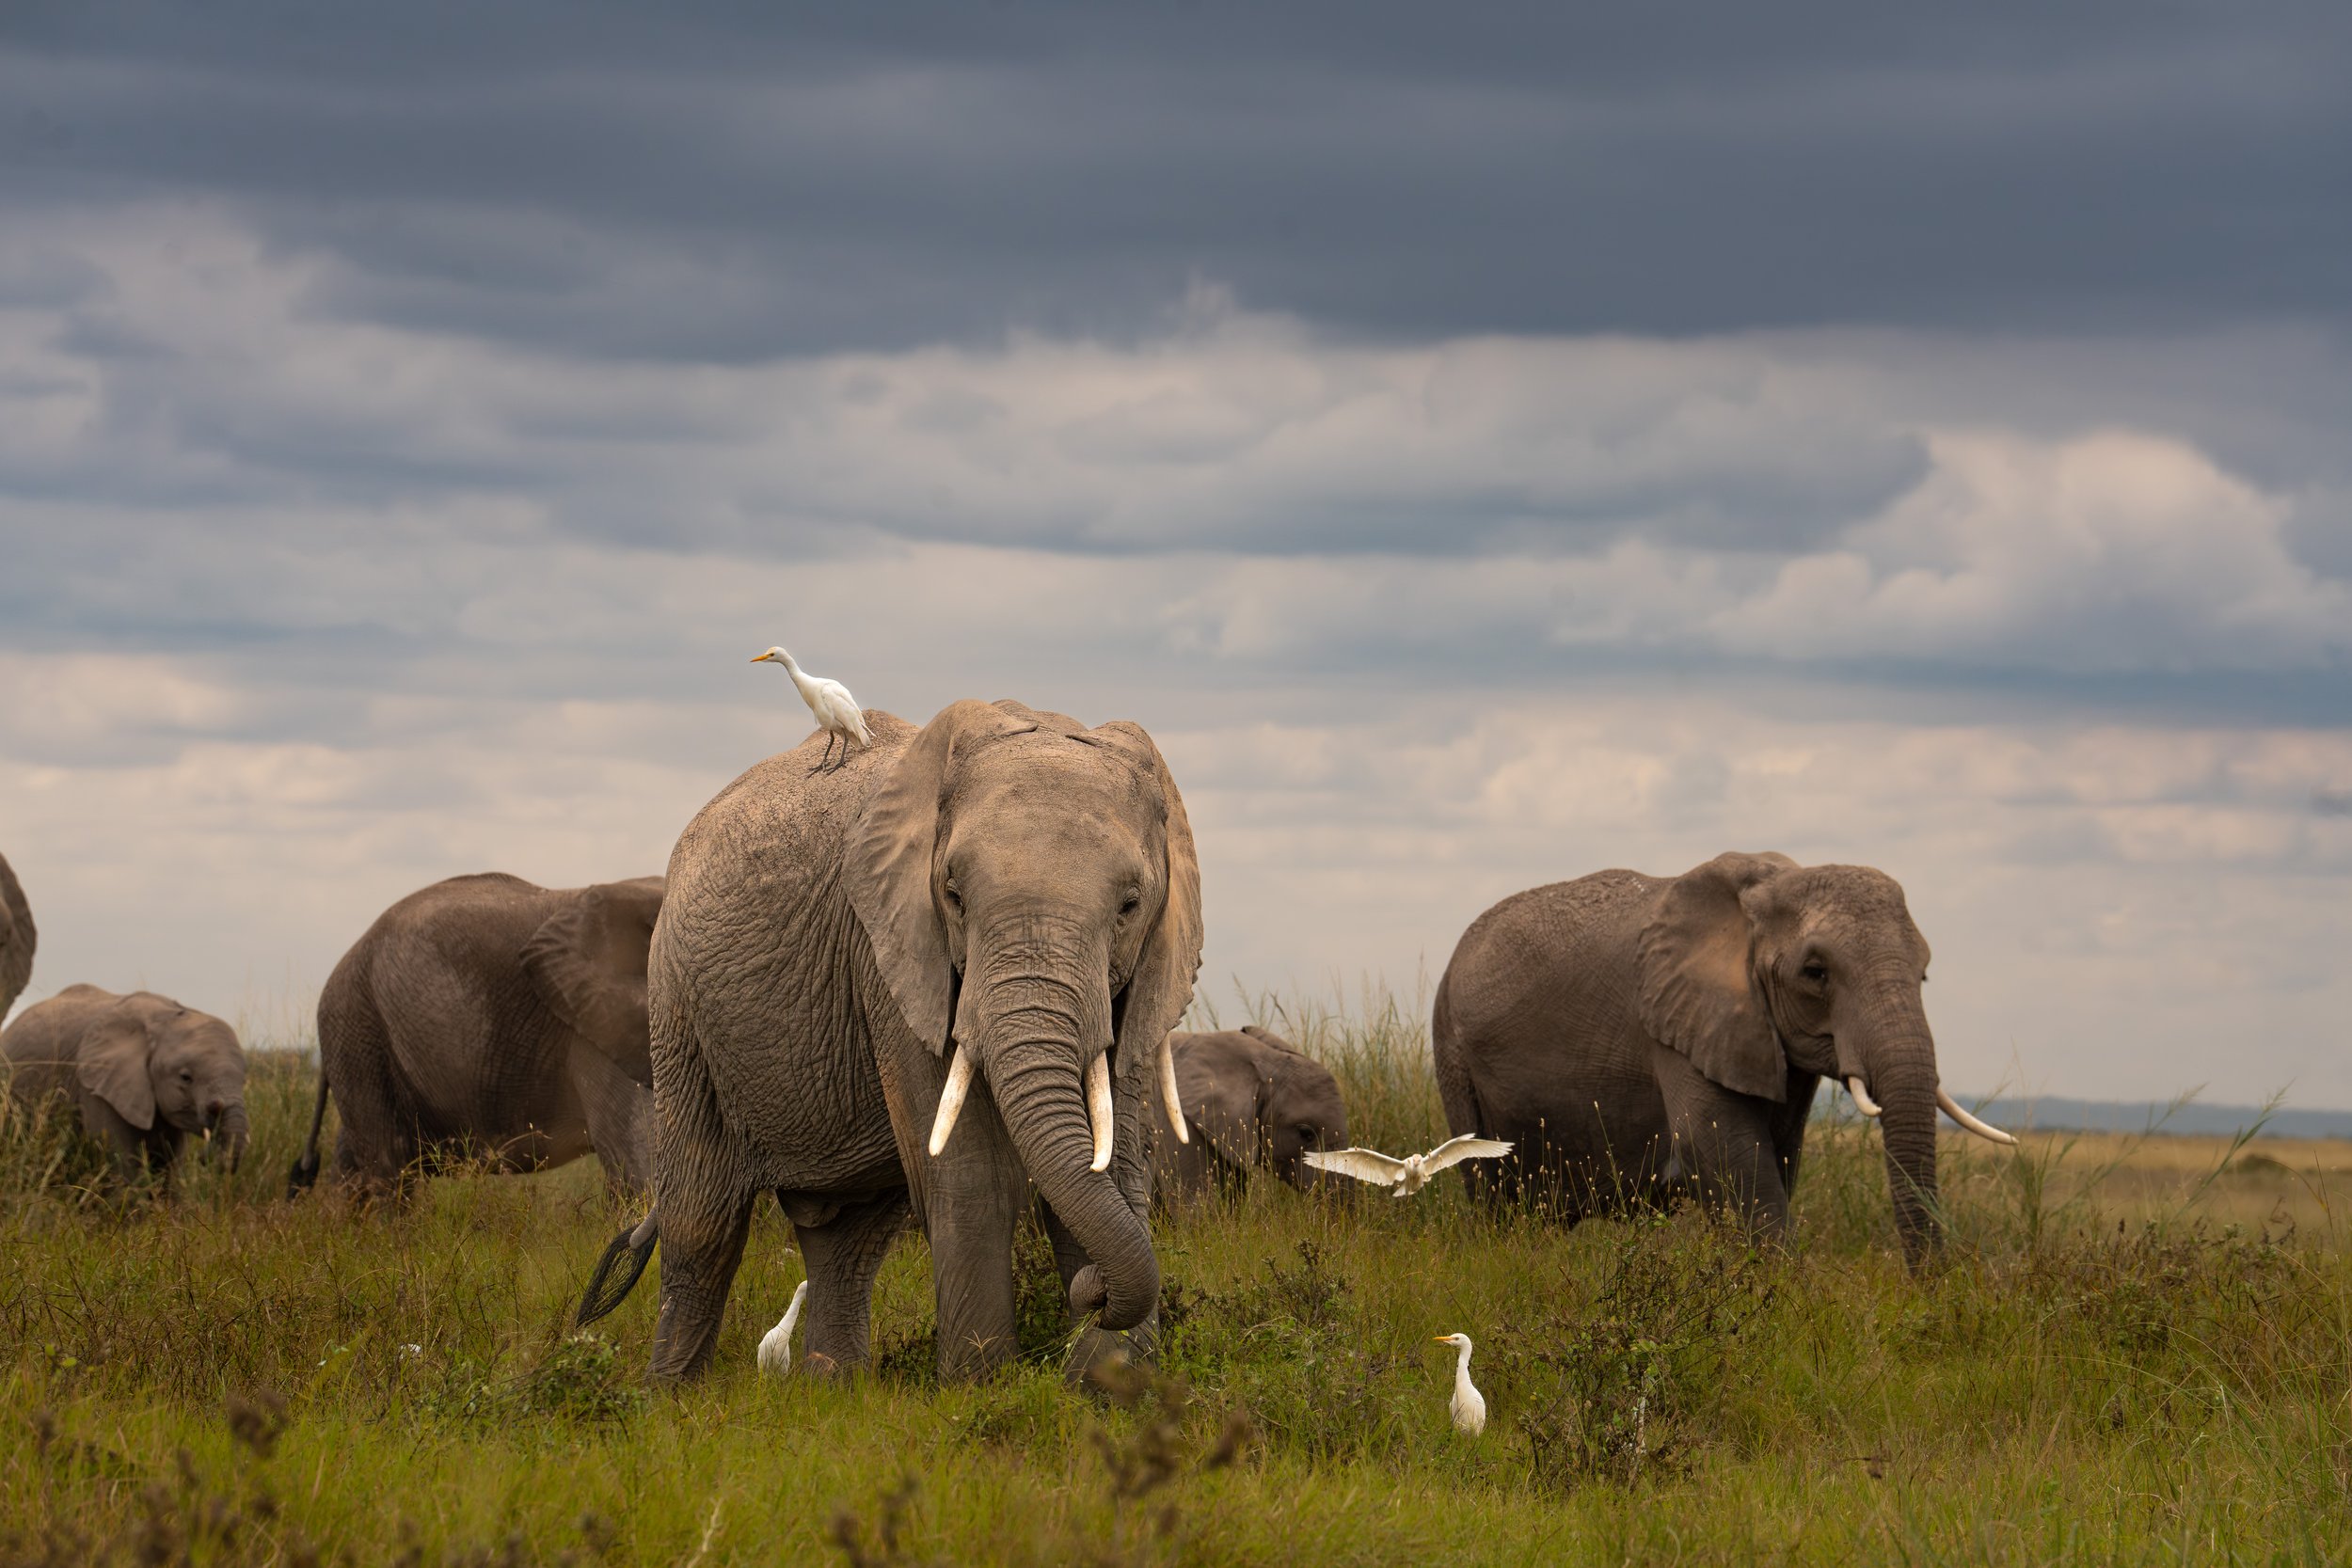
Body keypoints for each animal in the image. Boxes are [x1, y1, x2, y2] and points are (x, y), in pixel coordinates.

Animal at [2, 984, 249, 1179]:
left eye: (244, 1080)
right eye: (186, 1077)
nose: (205, 1156)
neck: (165, 1018)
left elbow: (171, 1163)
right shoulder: (97, 1086)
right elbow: (121, 1158)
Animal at [576, 699, 1202, 1387]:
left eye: (1130, 906)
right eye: (953, 897)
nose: (1092, 1293)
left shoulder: (1138, 980)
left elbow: (1111, 1160)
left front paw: (1113, 1387)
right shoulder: (889, 952)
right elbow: (974, 1173)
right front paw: (982, 1390)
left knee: (847, 1234)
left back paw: (832, 1391)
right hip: (679, 1010)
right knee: (703, 1221)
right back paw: (671, 1398)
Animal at [1431, 853, 2012, 1263]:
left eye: (1924, 974)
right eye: (1815, 973)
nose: (1934, 1294)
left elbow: (1778, 1153)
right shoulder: (1674, 1024)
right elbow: (1727, 1151)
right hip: (1453, 1052)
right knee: (1490, 1196)